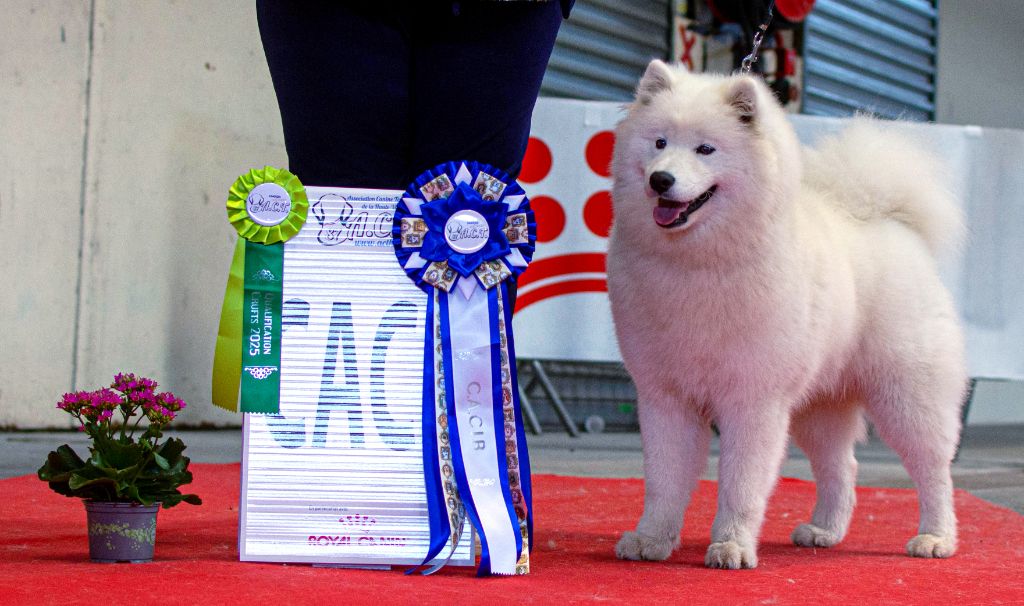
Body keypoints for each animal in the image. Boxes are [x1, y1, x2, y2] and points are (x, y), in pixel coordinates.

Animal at [610, 60, 962, 569]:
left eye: (705, 149)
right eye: (659, 142)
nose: (661, 180)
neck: (698, 264)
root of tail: (892, 225)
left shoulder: (754, 401)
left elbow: (741, 483)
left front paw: (731, 545)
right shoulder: (665, 397)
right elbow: (663, 480)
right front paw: (651, 539)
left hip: (907, 395)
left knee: (933, 469)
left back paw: (935, 538)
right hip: (820, 407)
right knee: (841, 467)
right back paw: (825, 530)